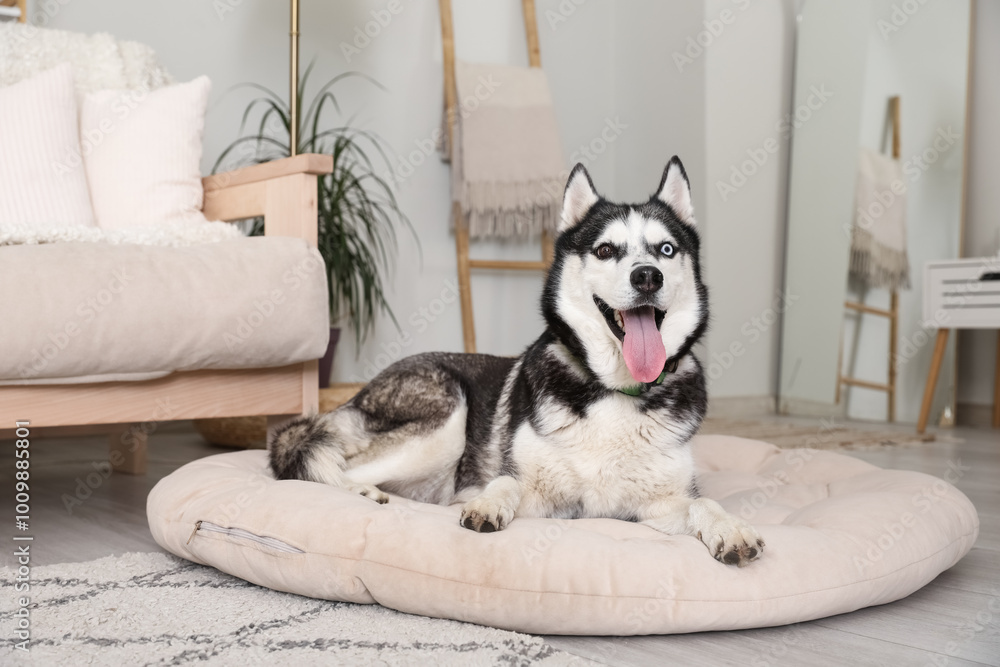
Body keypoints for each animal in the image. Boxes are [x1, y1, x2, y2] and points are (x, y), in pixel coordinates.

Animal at [270, 158, 760, 568]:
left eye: (666, 250)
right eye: (606, 250)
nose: (647, 276)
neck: (611, 389)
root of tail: (360, 393)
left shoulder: (657, 506)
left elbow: (702, 503)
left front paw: (731, 528)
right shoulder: (538, 494)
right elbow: (505, 483)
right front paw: (486, 504)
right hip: (443, 422)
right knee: (319, 468)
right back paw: (362, 491)